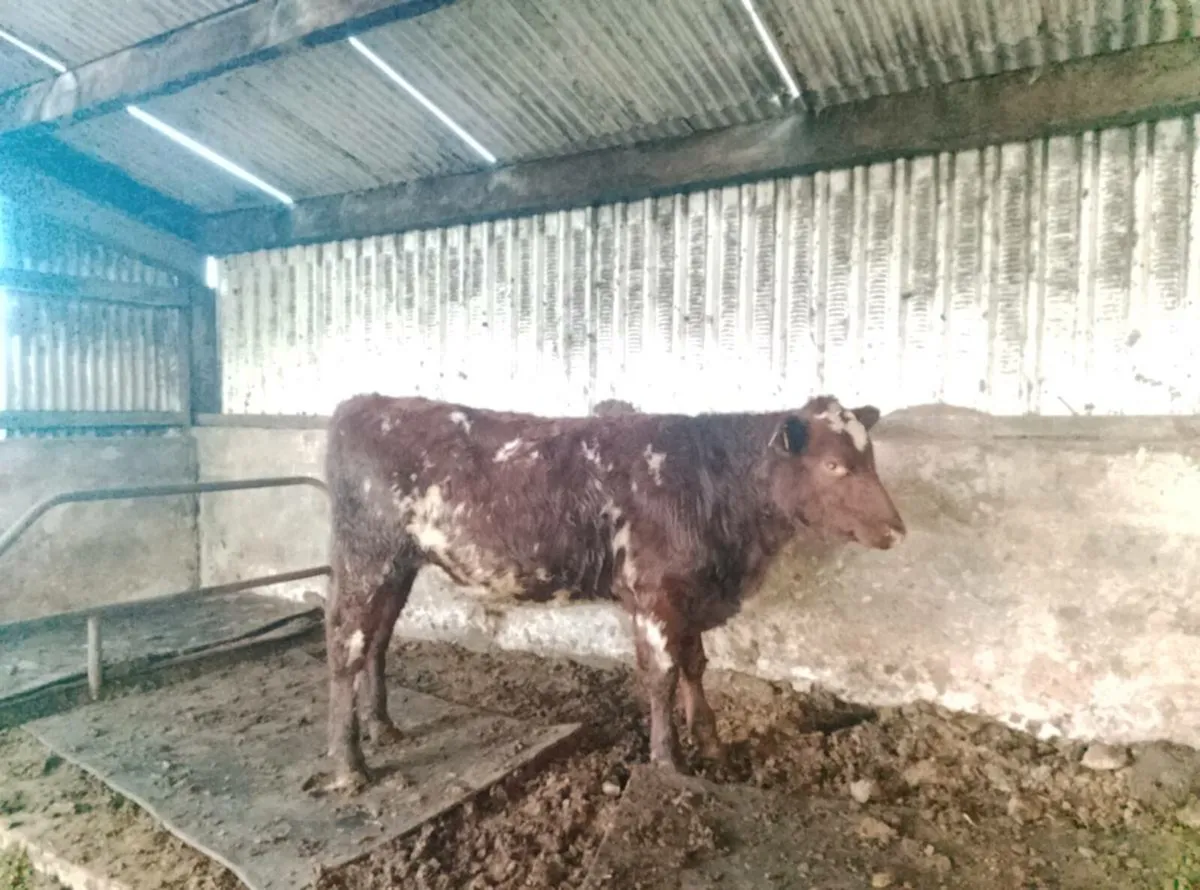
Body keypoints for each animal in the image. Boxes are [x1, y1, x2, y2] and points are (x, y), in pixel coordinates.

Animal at [322, 394, 906, 792]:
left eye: (873, 461)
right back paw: (350, 765)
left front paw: (712, 746)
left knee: (378, 640)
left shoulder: (690, 597)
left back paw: (384, 727)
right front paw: (669, 763)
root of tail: (367, 403)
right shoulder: (654, 595)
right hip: (365, 560)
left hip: (397, 567)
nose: (897, 530)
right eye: (834, 465)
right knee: (346, 647)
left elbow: (695, 667)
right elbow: (663, 676)